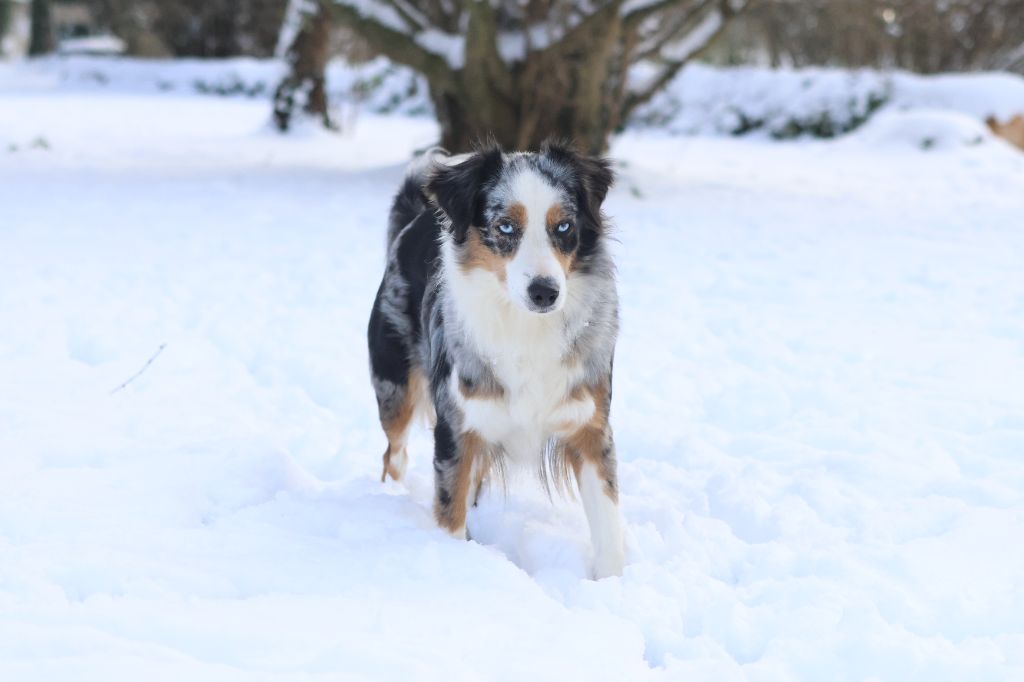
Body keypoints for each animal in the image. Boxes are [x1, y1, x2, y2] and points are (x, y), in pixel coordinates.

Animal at [368, 140, 622, 577]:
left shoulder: (590, 426)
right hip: (394, 387)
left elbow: (608, 526)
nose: (545, 292)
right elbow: (449, 512)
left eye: (564, 227)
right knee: (394, 454)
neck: (525, 327)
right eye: (505, 227)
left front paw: (613, 585)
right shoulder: (457, 428)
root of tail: (415, 217)